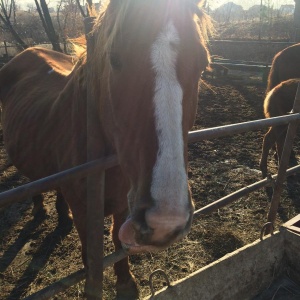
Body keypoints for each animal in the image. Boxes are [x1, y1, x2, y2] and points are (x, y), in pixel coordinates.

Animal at [0, 0, 211, 298]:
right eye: (114, 58)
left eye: (202, 63)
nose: (165, 222)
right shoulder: (85, 211)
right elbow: (91, 250)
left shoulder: (124, 203)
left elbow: (116, 242)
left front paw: (125, 284)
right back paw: (40, 209)